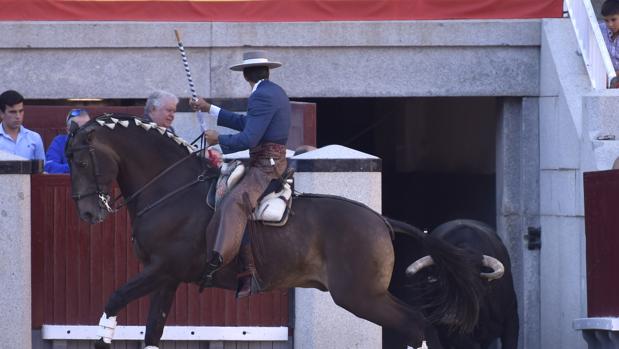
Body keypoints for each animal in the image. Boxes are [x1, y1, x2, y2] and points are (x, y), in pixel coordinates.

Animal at [66, 114, 494, 348]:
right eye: (69, 160)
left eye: (81, 160)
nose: (88, 212)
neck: (171, 190)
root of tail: (381, 220)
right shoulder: (167, 279)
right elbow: (153, 331)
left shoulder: (160, 270)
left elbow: (113, 301)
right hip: (367, 295)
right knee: (417, 326)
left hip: (359, 296)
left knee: (415, 325)